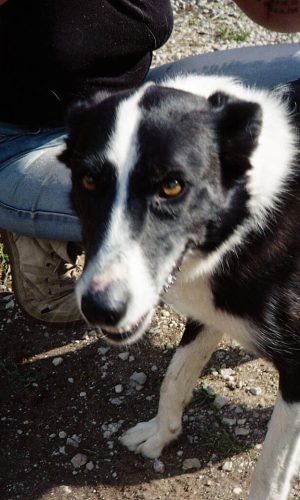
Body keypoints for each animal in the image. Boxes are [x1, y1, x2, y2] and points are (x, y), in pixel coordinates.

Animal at [60, 74, 300, 500]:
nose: (101, 308)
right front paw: (161, 433)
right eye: (88, 180)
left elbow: (270, 472)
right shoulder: (210, 311)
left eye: (172, 186)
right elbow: (175, 376)